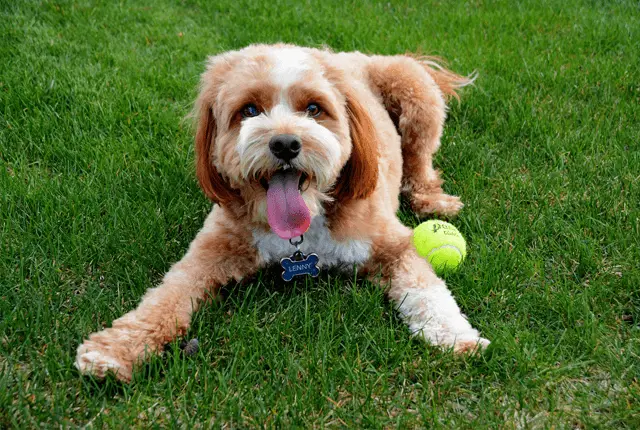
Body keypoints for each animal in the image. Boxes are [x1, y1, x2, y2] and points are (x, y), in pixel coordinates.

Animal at [75, 43, 490, 382]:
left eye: (314, 109)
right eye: (249, 110)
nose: (286, 143)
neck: (304, 229)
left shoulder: (393, 244)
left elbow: (427, 289)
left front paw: (455, 334)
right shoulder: (211, 249)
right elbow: (164, 298)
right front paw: (115, 349)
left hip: (417, 96)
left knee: (420, 162)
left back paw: (432, 200)